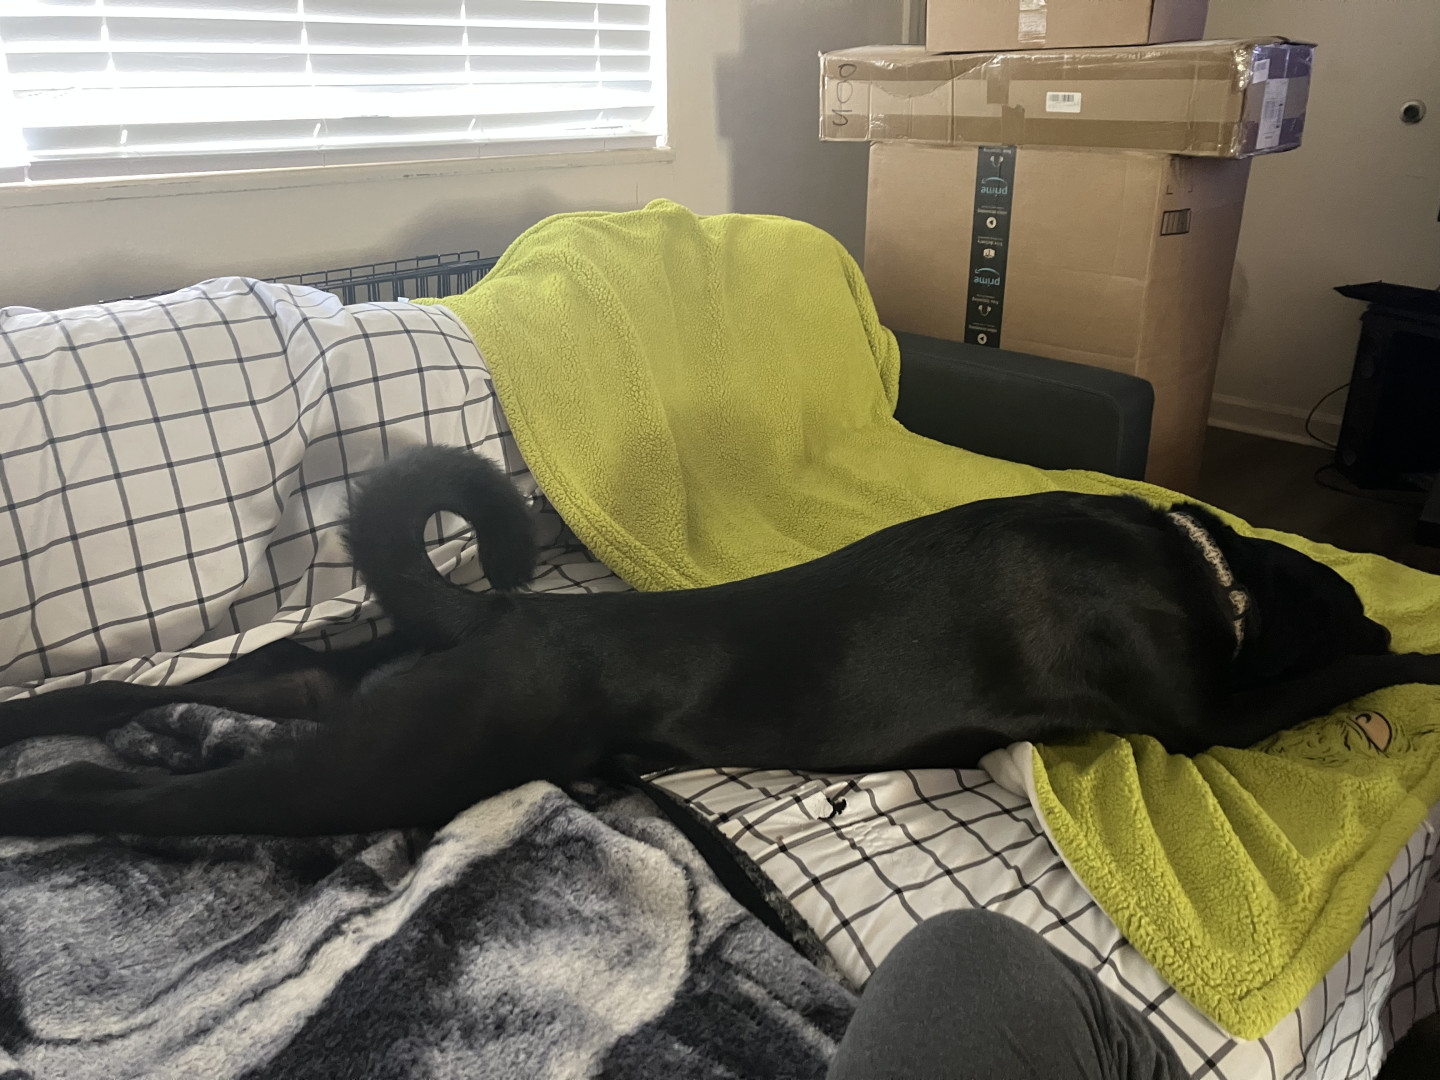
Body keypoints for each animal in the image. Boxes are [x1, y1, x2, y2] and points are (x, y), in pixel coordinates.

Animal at [0, 444, 1436, 838]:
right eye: (1358, 597)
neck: (1199, 567)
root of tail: (496, 607)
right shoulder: (1212, 722)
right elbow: (1348, 670)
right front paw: (1416, 652)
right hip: (378, 767)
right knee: (134, 799)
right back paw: (46, 808)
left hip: (341, 685)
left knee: (135, 693)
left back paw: (25, 723)